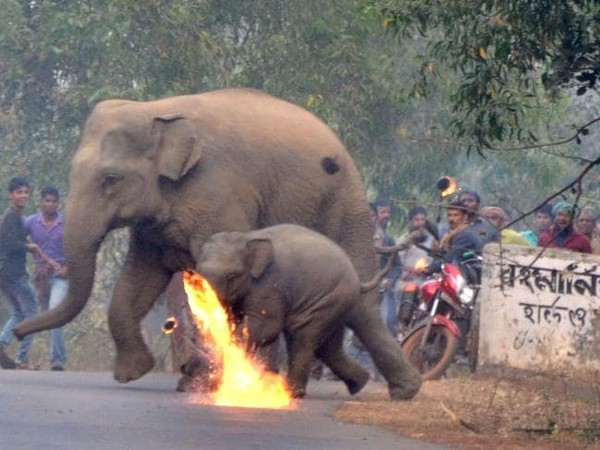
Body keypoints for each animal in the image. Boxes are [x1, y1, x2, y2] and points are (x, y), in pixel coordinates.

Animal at [195, 222, 386, 398]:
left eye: (232, 276)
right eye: (198, 273)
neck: (248, 238)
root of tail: (356, 276)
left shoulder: (269, 285)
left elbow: (267, 326)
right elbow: (234, 321)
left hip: (330, 300)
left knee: (304, 338)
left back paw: (293, 393)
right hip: (336, 304)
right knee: (328, 348)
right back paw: (359, 384)